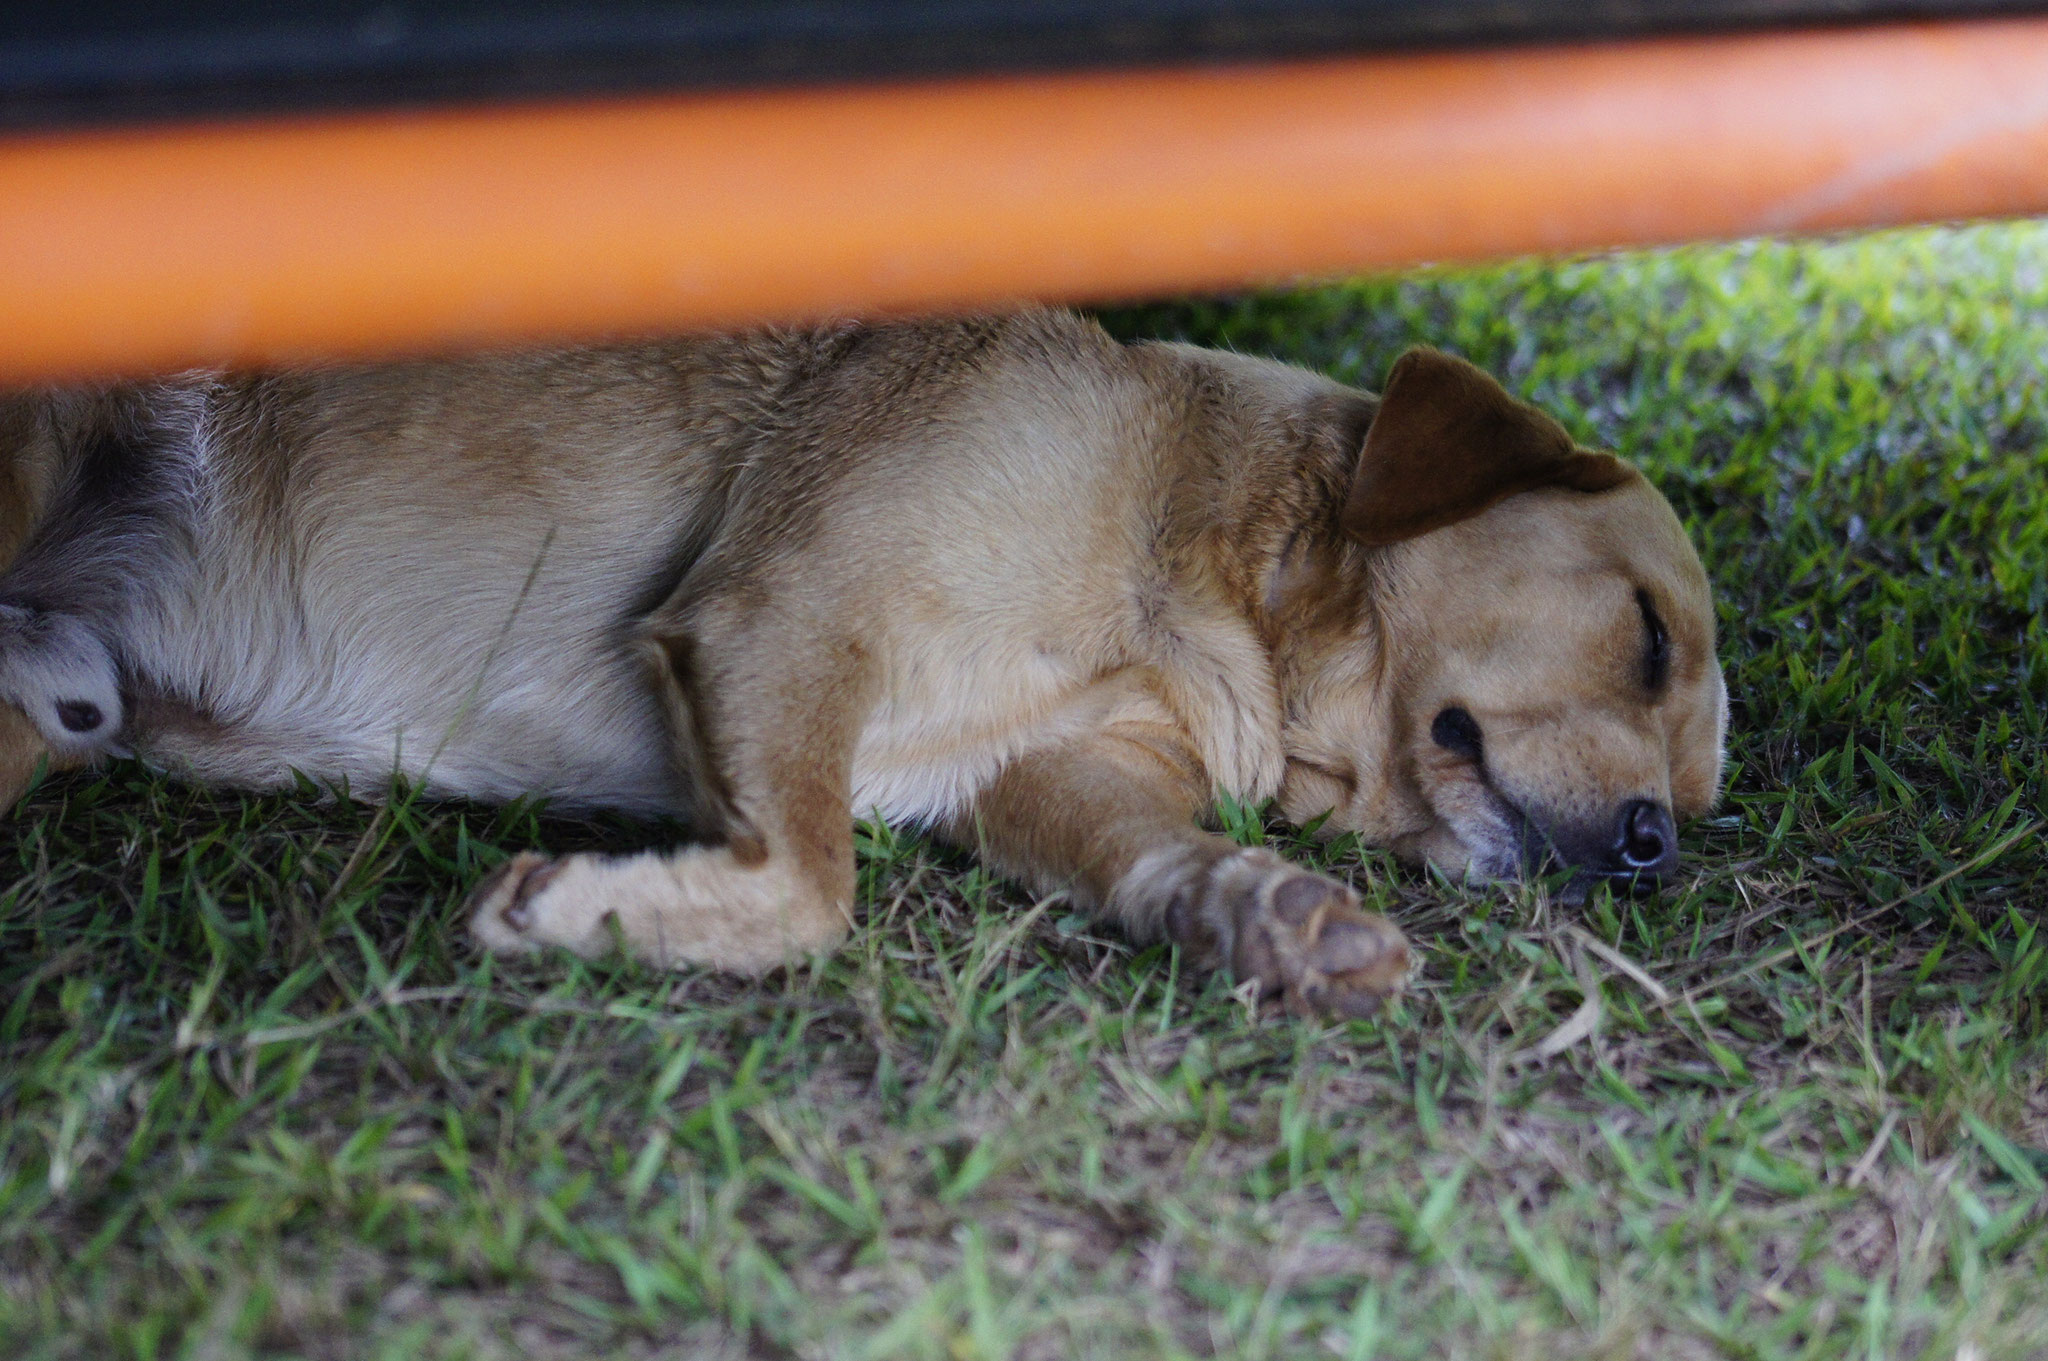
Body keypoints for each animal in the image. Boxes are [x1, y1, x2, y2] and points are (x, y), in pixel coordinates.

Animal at [4, 306, 1728, 1006]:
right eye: (1648, 637)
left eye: (1701, 802)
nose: (1656, 850)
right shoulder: (777, 611)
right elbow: (812, 889)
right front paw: (600, 915)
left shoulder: (1038, 777)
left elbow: (1156, 856)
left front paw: (1275, 915)